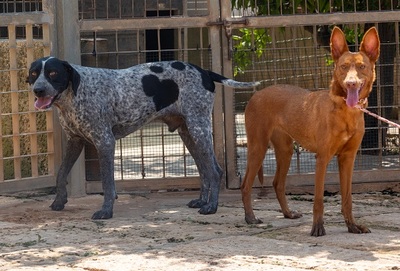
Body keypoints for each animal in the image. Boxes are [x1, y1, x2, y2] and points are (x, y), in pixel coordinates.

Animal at [27, 56, 260, 220]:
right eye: (34, 73)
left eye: (53, 73)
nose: (38, 90)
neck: (74, 94)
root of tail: (204, 71)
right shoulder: (75, 142)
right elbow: (60, 174)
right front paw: (59, 202)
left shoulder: (105, 142)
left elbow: (107, 184)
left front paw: (106, 211)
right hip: (188, 133)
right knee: (204, 171)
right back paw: (202, 201)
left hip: (198, 128)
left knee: (215, 171)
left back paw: (211, 207)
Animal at [242, 26, 380, 237]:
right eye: (343, 67)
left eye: (362, 67)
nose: (351, 83)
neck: (345, 112)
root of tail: (257, 94)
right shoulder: (322, 158)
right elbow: (318, 199)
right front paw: (318, 227)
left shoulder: (348, 158)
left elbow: (347, 197)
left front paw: (352, 226)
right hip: (258, 147)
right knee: (246, 185)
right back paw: (250, 217)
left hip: (285, 151)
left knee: (278, 183)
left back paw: (288, 214)